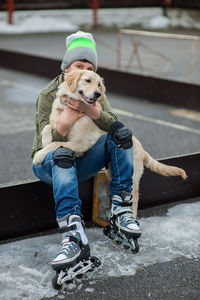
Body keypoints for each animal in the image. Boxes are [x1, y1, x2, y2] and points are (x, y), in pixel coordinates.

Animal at [32, 69, 188, 218]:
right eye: (87, 80)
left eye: (99, 85)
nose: (97, 94)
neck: (72, 108)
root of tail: (141, 148)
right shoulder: (59, 127)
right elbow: (47, 128)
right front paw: (45, 141)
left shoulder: (81, 142)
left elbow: (54, 145)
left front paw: (39, 155)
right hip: (111, 174)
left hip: (131, 176)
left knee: (134, 197)